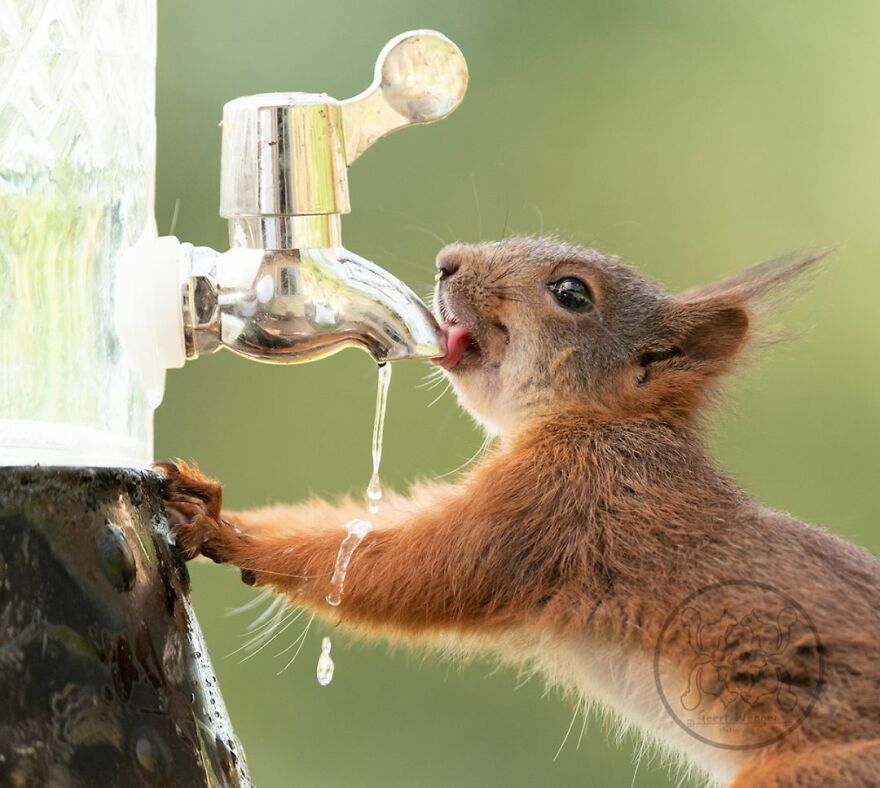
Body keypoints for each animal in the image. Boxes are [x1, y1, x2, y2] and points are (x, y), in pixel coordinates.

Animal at [159, 237, 880, 787]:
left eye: (572, 293)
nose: (448, 261)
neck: (605, 422)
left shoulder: (557, 503)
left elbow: (416, 566)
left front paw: (224, 527)